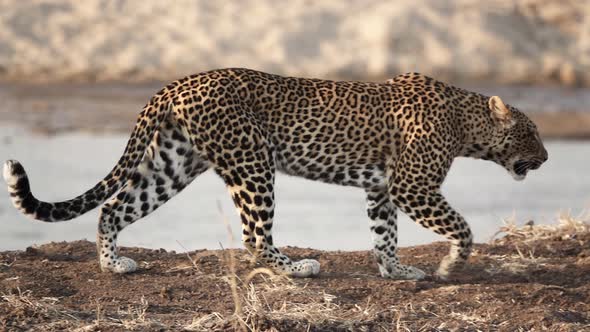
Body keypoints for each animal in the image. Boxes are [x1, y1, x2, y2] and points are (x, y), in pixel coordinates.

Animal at [2, 68, 548, 280]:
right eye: (531, 132)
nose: (545, 159)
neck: (466, 121)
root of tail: (178, 83)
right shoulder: (412, 186)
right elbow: (463, 227)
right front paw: (451, 265)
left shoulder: (382, 188)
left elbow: (385, 235)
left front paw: (395, 270)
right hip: (252, 163)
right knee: (253, 236)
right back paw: (297, 268)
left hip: (174, 164)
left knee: (114, 208)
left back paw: (113, 264)